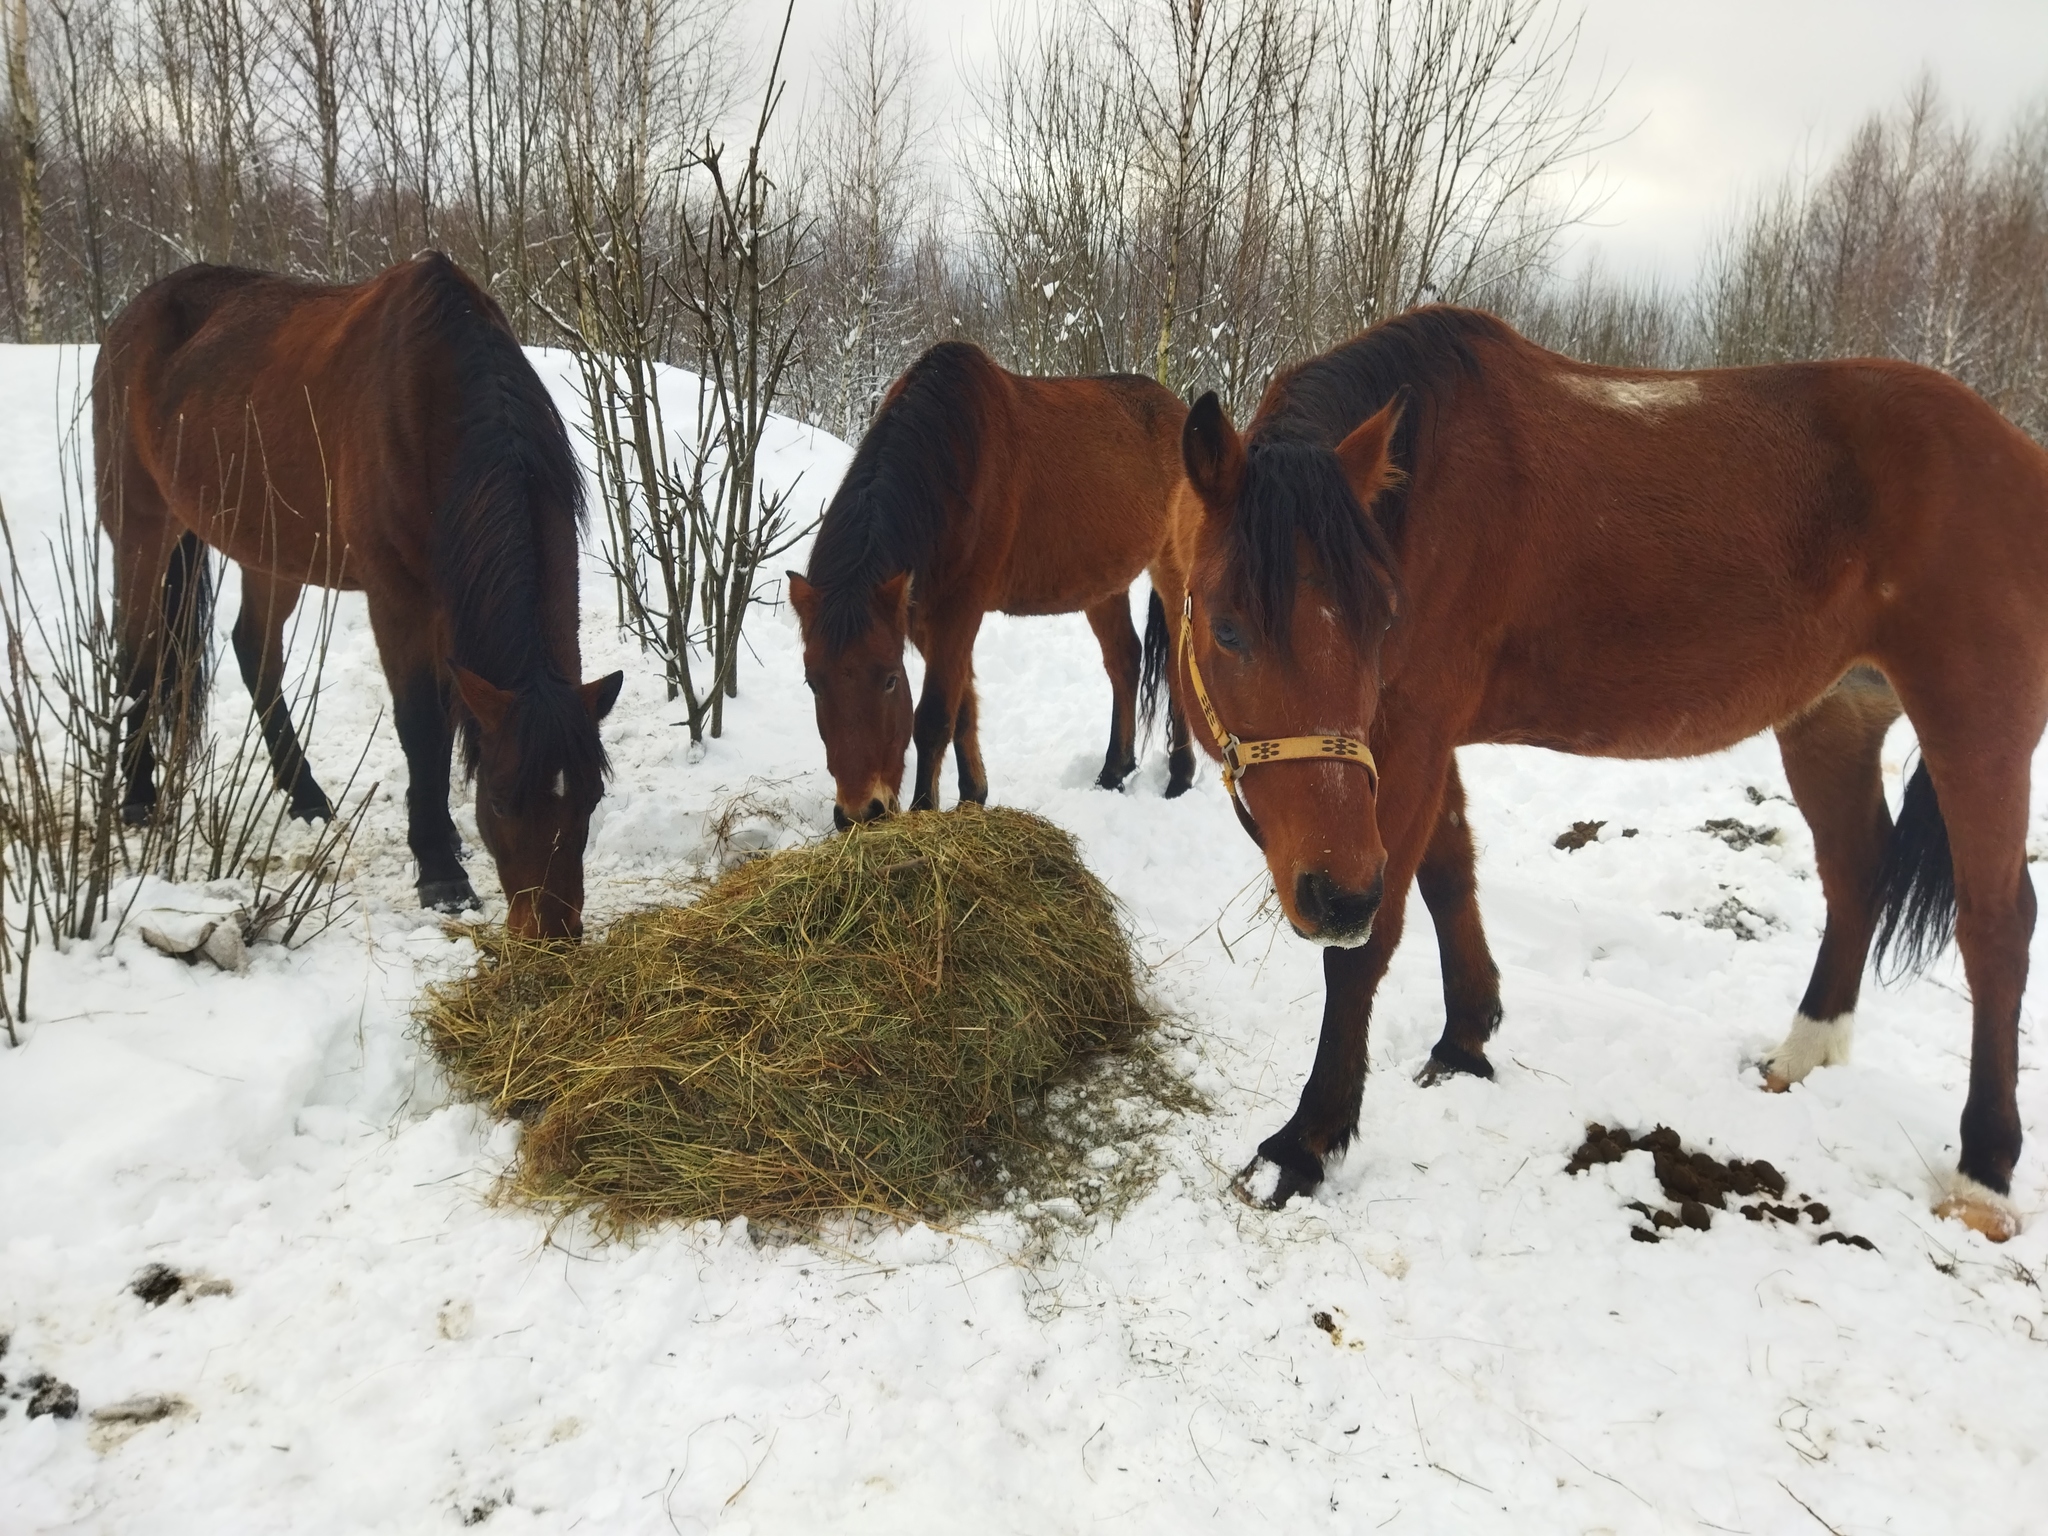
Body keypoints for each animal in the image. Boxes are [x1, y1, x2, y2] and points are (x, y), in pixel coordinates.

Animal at [96, 256, 622, 937]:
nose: (553, 933)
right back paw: (137, 798)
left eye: (592, 797)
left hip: (272, 550)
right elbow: (422, 725)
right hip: (141, 527)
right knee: (138, 654)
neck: (439, 404)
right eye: (503, 800)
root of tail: (131, 318)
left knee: (252, 650)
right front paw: (441, 872)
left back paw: (305, 796)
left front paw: (443, 839)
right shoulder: (397, 599)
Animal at [1155, 307, 2048, 1245]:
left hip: (1976, 725)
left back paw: (1983, 1175)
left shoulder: (1412, 736)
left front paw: (1304, 1142)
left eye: (1382, 619)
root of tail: (2017, 452)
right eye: (1228, 628)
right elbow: (1448, 874)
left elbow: (1369, 949)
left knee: (1997, 926)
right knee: (1857, 873)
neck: (1427, 490)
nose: (1332, 897)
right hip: (1831, 718)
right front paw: (1466, 1039)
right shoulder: (1413, 745)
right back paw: (1802, 1054)